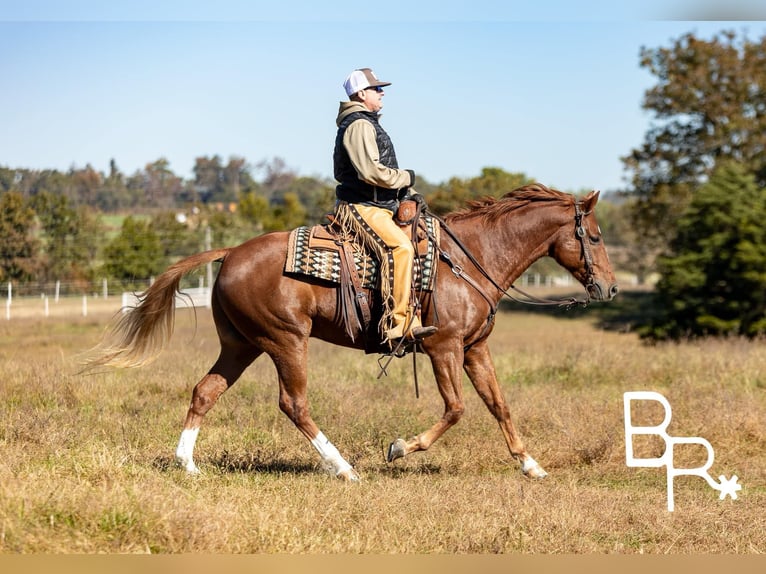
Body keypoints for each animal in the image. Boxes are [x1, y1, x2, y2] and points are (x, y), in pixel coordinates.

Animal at [86, 183, 618, 481]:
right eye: (593, 236)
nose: (610, 287)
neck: (470, 258)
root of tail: (231, 252)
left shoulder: (474, 350)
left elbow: (499, 406)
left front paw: (531, 466)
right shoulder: (443, 348)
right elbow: (457, 409)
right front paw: (400, 448)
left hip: (241, 346)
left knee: (204, 391)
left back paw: (189, 465)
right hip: (286, 342)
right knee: (293, 404)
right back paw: (343, 469)